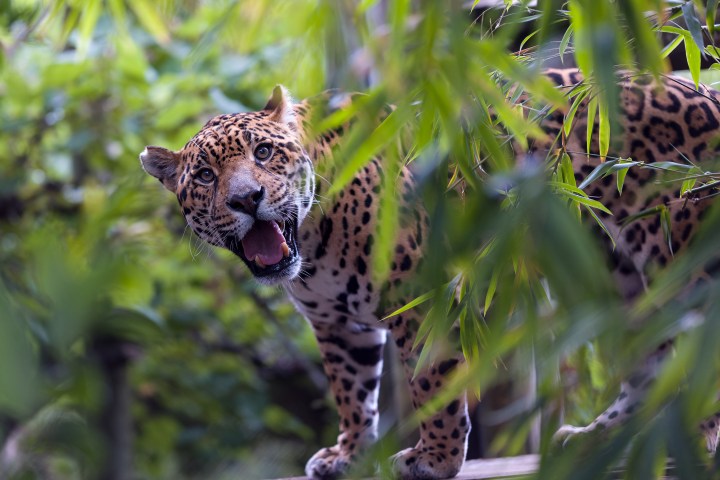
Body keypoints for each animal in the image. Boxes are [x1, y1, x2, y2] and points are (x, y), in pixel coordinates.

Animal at [140, 68, 720, 479]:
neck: (314, 243)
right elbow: (352, 392)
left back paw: (691, 437)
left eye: (263, 152)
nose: (247, 198)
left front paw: (434, 459)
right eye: (206, 177)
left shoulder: (420, 297)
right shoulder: (335, 324)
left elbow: (430, 382)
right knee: (653, 356)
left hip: (681, 255)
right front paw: (348, 455)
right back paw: (605, 436)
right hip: (619, 274)